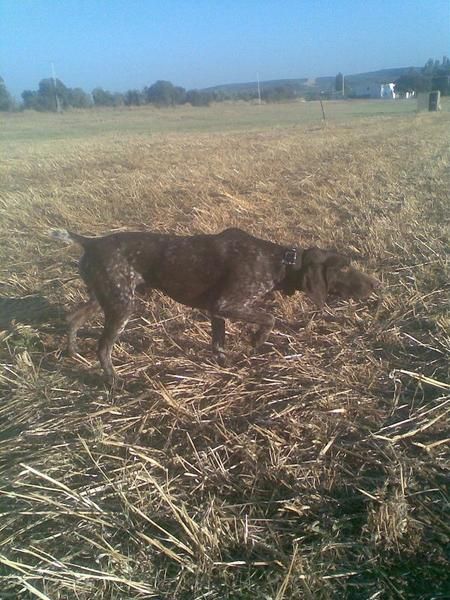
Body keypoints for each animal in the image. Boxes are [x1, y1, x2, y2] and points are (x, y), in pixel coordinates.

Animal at [51, 227, 378, 382]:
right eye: (344, 268)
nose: (376, 285)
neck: (279, 262)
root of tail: (91, 241)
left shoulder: (215, 312)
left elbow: (218, 344)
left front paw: (225, 366)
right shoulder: (227, 304)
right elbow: (269, 319)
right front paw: (256, 341)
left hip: (106, 297)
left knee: (72, 318)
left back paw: (73, 352)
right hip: (122, 305)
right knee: (103, 347)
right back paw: (114, 382)